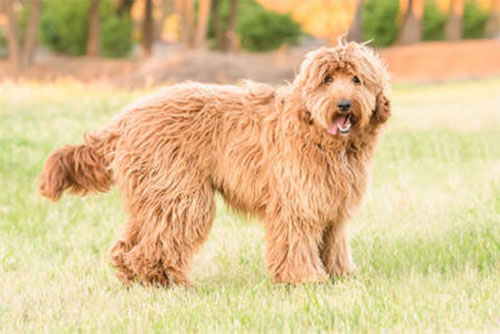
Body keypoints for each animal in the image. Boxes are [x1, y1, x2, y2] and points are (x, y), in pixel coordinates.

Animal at [39, 41, 390, 288]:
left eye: (356, 80)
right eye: (327, 79)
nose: (344, 104)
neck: (315, 130)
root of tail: (126, 119)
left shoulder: (333, 206)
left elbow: (334, 244)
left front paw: (341, 275)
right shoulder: (297, 203)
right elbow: (296, 242)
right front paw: (304, 279)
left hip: (153, 194)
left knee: (129, 242)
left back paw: (138, 278)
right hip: (180, 193)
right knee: (157, 241)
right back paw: (167, 281)